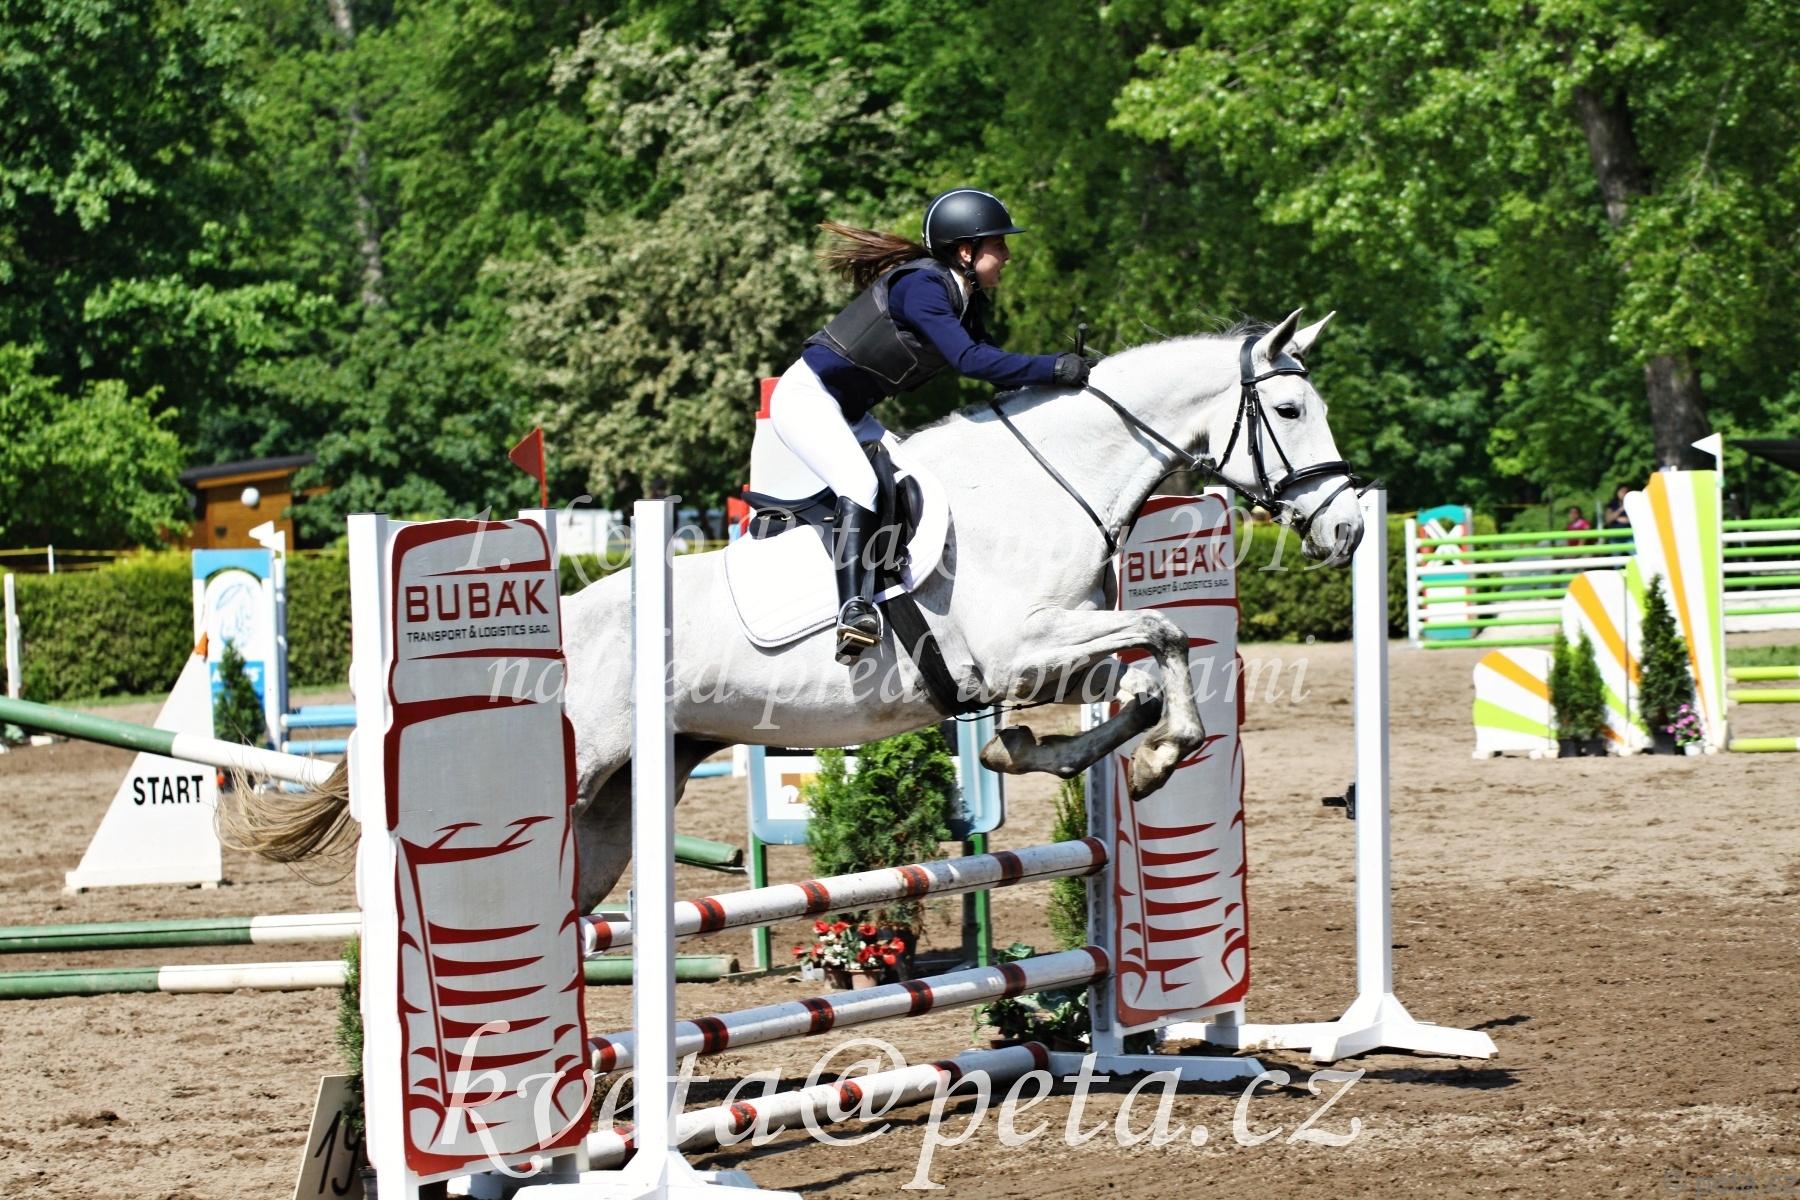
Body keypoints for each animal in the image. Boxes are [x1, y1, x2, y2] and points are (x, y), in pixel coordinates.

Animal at [237, 310, 1363, 913]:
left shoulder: (1054, 655)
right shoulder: (1017, 649)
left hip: (619, 800)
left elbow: (1129, 678)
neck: (1048, 481)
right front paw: (1162, 752)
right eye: (1290, 408)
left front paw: (1096, 749)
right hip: (582, 766)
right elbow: (1165, 636)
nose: (1349, 529)